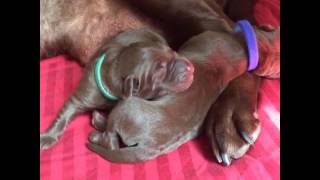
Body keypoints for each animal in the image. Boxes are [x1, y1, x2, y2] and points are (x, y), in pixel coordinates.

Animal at [40, 29, 195, 150]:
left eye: (173, 51)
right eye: (161, 69)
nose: (191, 67)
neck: (115, 69)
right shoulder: (86, 92)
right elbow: (65, 112)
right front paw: (48, 137)